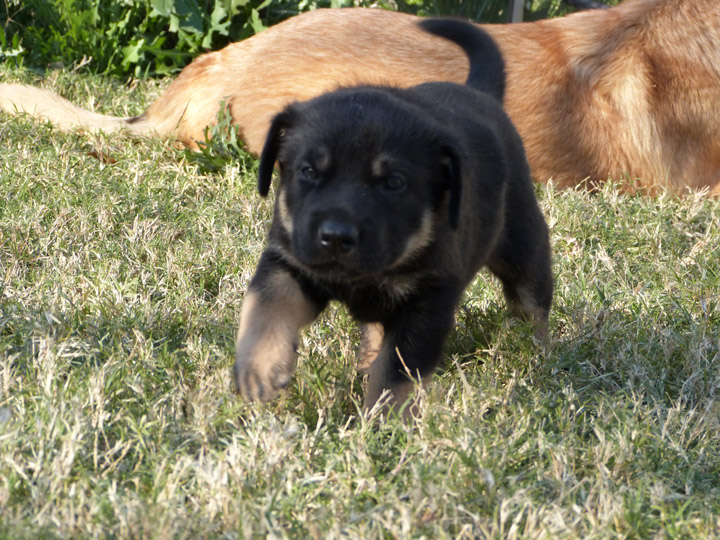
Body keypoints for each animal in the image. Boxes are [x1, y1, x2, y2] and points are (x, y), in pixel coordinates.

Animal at [233, 17, 556, 414]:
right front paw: (259, 368)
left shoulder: (426, 303)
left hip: (523, 243)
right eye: (308, 171)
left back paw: (537, 354)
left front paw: (383, 420)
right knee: (374, 328)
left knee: (533, 302)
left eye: (394, 183)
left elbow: (397, 372)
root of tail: (481, 94)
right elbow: (266, 304)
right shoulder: (289, 259)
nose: (336, 236)